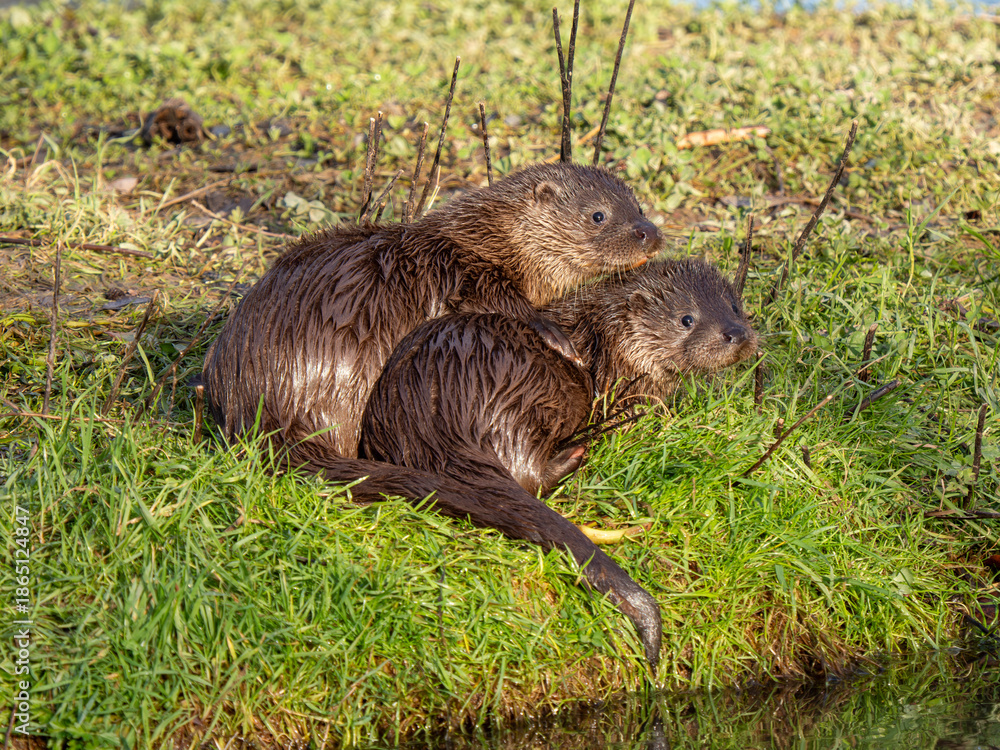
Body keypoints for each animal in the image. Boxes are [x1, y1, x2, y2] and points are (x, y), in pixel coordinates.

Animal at [202, 162, 661, 458]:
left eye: (639, 206)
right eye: (598, 215)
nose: (650, 233)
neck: (494, 243)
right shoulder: (465, 273)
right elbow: (505, 305)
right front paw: (559, 338)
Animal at [331, 259, 757, 671]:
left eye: (734, 307)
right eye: (687, 318)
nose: (735, 333)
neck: (609, 341)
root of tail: (434, 426)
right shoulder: (625, 392)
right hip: (526, 394)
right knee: (526, 473)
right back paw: (575, 454)